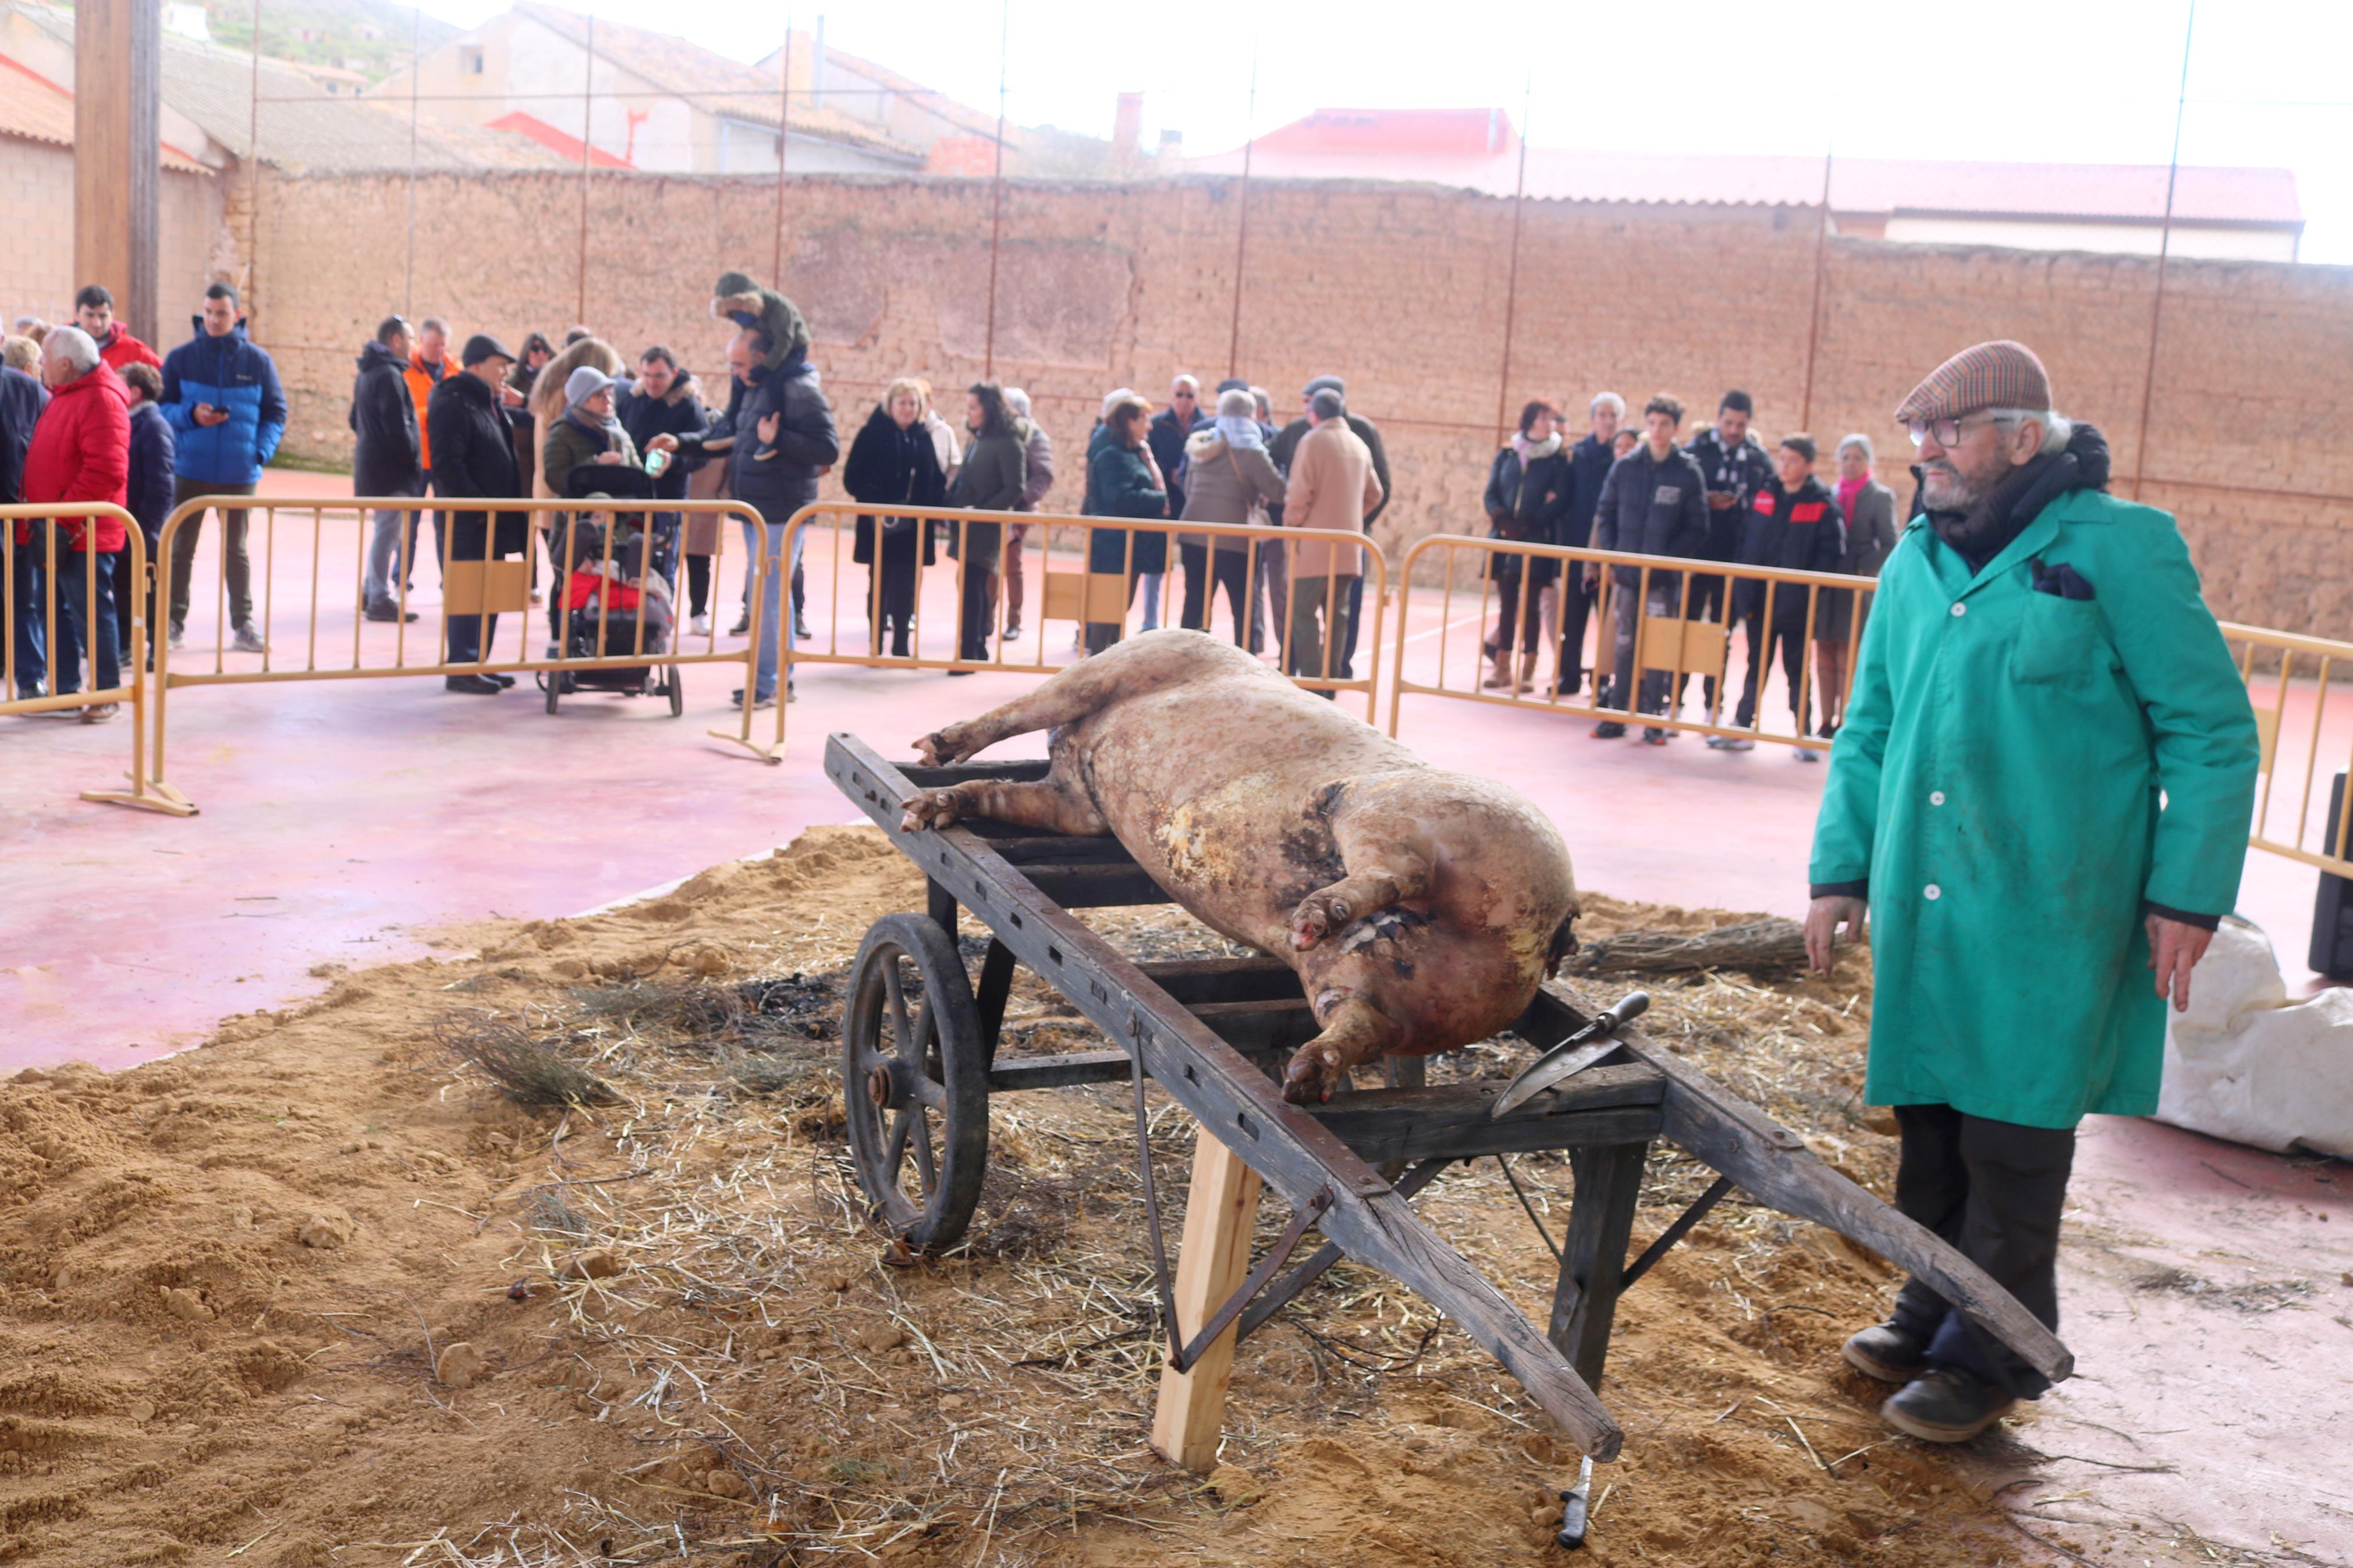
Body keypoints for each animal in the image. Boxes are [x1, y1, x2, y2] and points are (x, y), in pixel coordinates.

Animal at [899, 630, 1581, 1105]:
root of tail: (1549, 932)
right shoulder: (1077, 802)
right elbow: (1000, 793)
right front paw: (921, 810)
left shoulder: (1127, 666)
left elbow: (1023, 707)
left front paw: (930, 753)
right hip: (1391, 992)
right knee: (1359, 1022)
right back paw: (1302, 1077)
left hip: (1402, 813)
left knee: (1395, 871)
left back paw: (1313, 917)